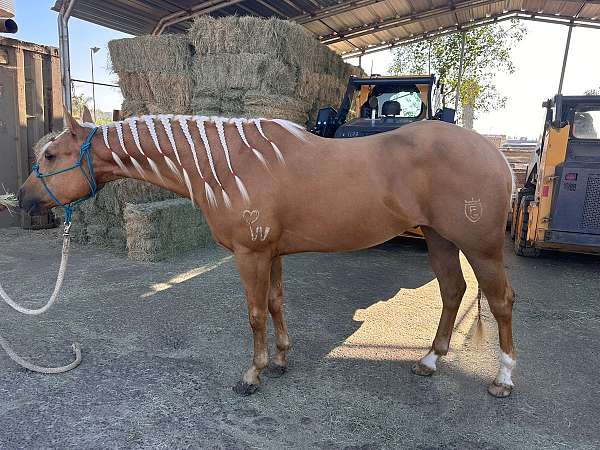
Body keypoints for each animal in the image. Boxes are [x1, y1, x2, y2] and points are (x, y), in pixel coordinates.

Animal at [17, 108, 516, 398]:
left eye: (51, 155)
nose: (21, 200)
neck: (227, 164)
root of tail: (494, 152)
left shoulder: (251, 253)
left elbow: (255, 313)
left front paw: (252, 374)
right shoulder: (272, 253)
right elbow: (276, 303)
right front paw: (280, 361)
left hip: (481, 247)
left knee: (500, 302)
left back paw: (503, 379)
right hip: (438, 238)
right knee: (452, 291)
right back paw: (430, 361)